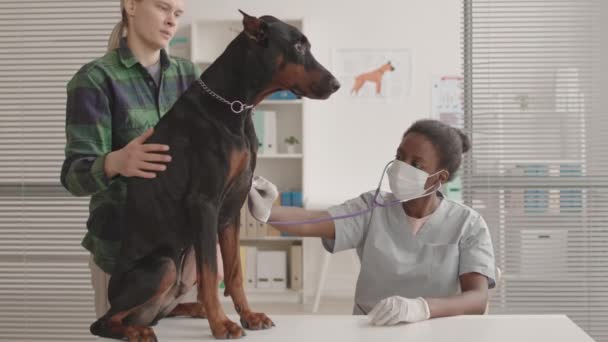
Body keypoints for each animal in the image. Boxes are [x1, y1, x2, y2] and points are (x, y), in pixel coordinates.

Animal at [88, 10, 340, 342]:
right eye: (298, 46)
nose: (336, 84)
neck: (235, 107)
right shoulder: (204, 203)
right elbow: (210, 276)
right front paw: (221, 324)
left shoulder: (230, 210)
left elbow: (233, 272)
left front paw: (248, 315)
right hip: (164, 265)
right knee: (105, 321)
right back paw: (139, 330)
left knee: (164, 309)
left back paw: (189, 310)